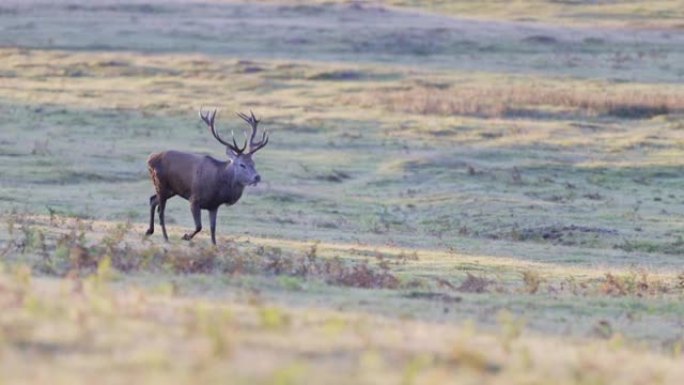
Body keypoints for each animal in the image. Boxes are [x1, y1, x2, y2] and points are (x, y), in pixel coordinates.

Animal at [146, 108, 268, 244]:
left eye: (253, 163)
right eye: (242, 164)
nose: (257, 177)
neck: (217, 187)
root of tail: (150, 159)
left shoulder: (214, 206)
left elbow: (213, 229)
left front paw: (214, 245)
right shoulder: (194, 199)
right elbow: (199, 226)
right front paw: (185, 236)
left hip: (171, 190)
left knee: (152, 200)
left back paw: (149, 231)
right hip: (160, 183)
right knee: (161, 211)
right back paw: (165, 237)